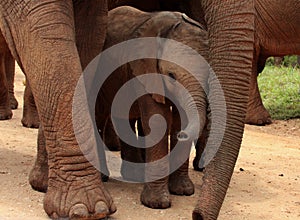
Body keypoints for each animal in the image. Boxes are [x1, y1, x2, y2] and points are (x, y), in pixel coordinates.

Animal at [96, 6, 209, 210]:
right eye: (171, 76)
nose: (183, 135)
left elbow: (180, 119)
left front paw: (183, 191)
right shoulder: (145, 68)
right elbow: (158, 121)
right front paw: (157, 203)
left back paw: (134, 176)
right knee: (99, 114)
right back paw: (105, 177)